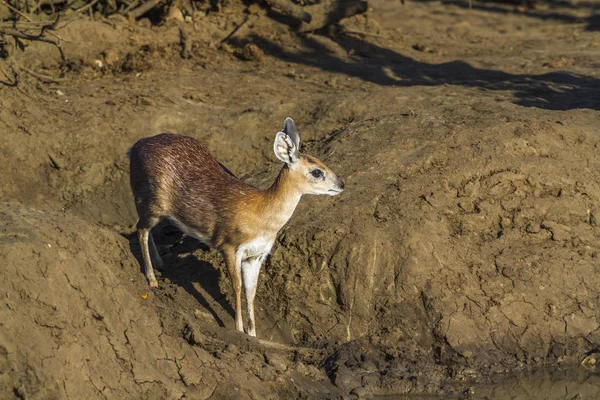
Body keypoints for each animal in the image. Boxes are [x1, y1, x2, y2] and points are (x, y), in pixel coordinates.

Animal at [129, 117, 344, 336]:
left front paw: (253, 333)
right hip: (152, 201)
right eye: (317, 172)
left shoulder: (256, 255)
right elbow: (237, 286)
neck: (261, 215)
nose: (341, 184)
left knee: (146, 229)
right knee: (140, 229)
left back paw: (159, 263)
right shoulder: (229, 246)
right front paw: (239, 329)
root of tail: (135, 147)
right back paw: (152, 279)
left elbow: (251, 292)